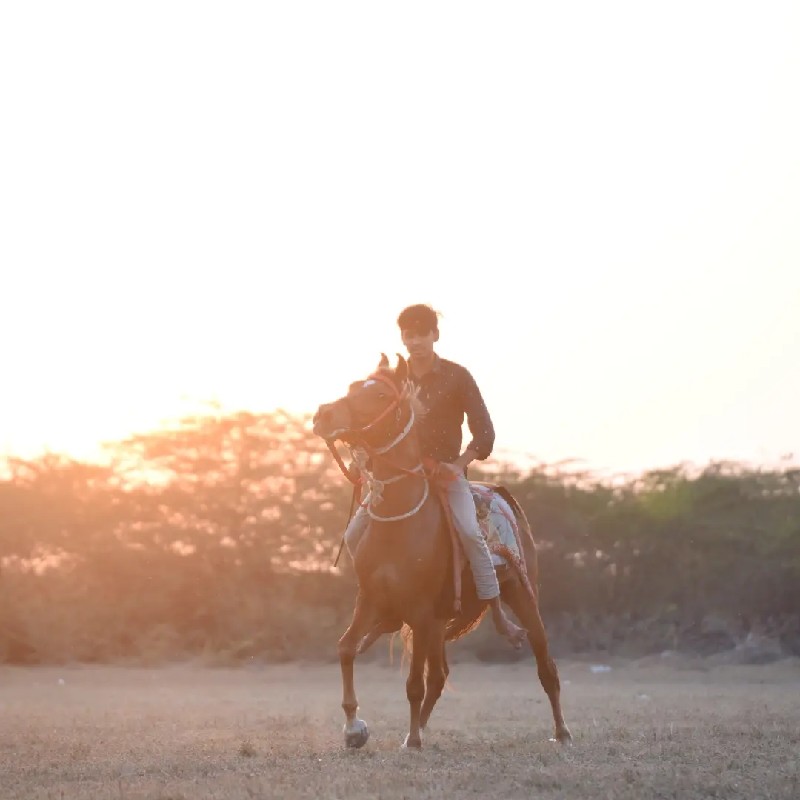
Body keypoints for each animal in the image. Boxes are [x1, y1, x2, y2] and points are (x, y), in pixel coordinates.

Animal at [310, 354, 568, 748]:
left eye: (380, 394)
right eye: (353, 387)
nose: (324, 415)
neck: (398, 523)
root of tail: (502, 495)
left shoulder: (418, 611)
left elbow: (413, 684)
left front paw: (409, 739)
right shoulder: (373, 601)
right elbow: (346, 648)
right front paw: (355, 727)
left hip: (522, 596)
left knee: (546, 666)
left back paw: (562, 732)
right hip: (436, 623)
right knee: (439, 675)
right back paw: (414, 731)